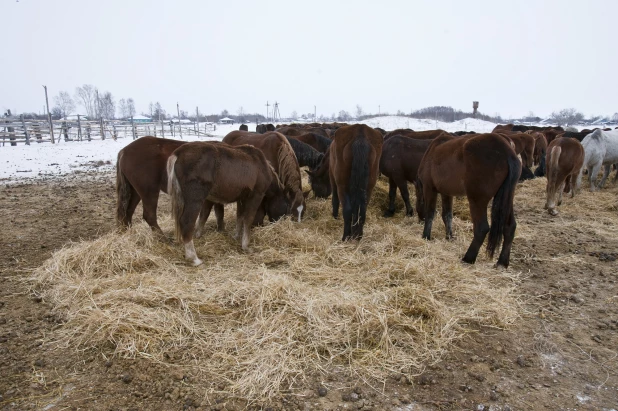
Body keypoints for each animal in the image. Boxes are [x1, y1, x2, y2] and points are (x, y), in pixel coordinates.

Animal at [414, 132, 520, 268]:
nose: (419, 219)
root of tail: (506, 150)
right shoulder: (446, 193)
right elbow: (447, 215)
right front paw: (449, 237)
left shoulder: (429, 189)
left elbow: (430, 214)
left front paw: (426, 236)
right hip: (507, 199)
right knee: (510, 227)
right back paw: (502, 262)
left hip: (477, 200)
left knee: (481, 228)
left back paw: (468, 258)